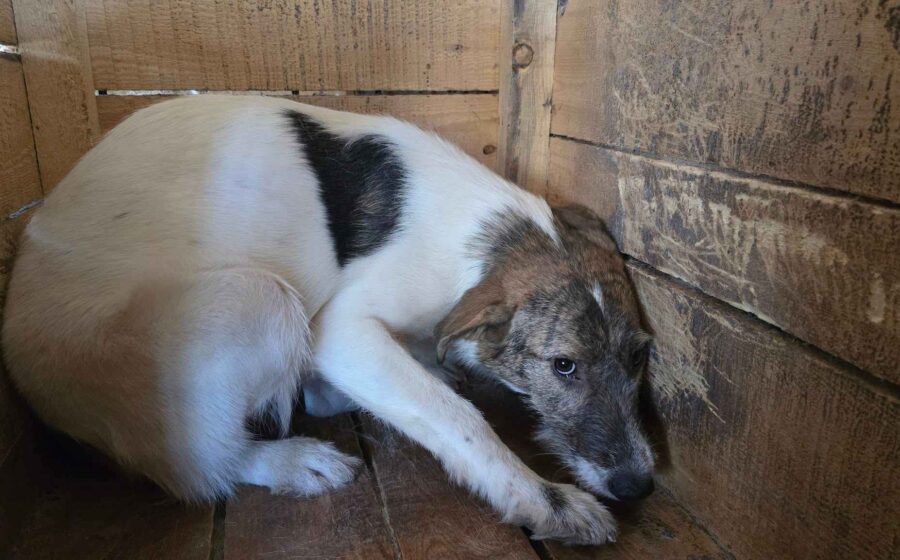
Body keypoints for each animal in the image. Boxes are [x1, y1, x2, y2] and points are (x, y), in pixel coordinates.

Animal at [2, 96, 654, 545]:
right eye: (563, 365)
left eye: (638, 356)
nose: (639, 487)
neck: (481, 234)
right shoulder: (341, 332)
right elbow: (460, 420)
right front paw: (545, 500)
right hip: (263, 301)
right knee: (198, 468)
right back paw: (291, 460)